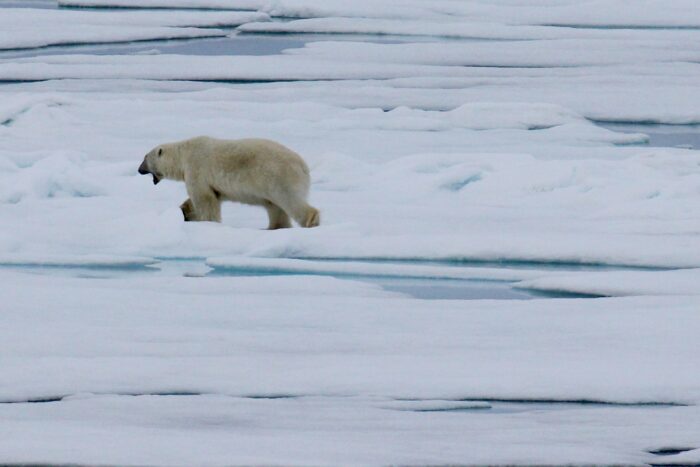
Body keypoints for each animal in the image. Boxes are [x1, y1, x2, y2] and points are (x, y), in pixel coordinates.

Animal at [136, 136, 320, 229]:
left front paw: (208, 222)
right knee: (275, 207)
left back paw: (311, 220)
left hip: (278, 177)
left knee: (289, 201)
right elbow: (208, 198)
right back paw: (275, 227)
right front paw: (184, 211)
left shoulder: (196, 168)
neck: (183, 154)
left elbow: (204, 199)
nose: (139, 169)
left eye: (145, 157)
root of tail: (303, 166)